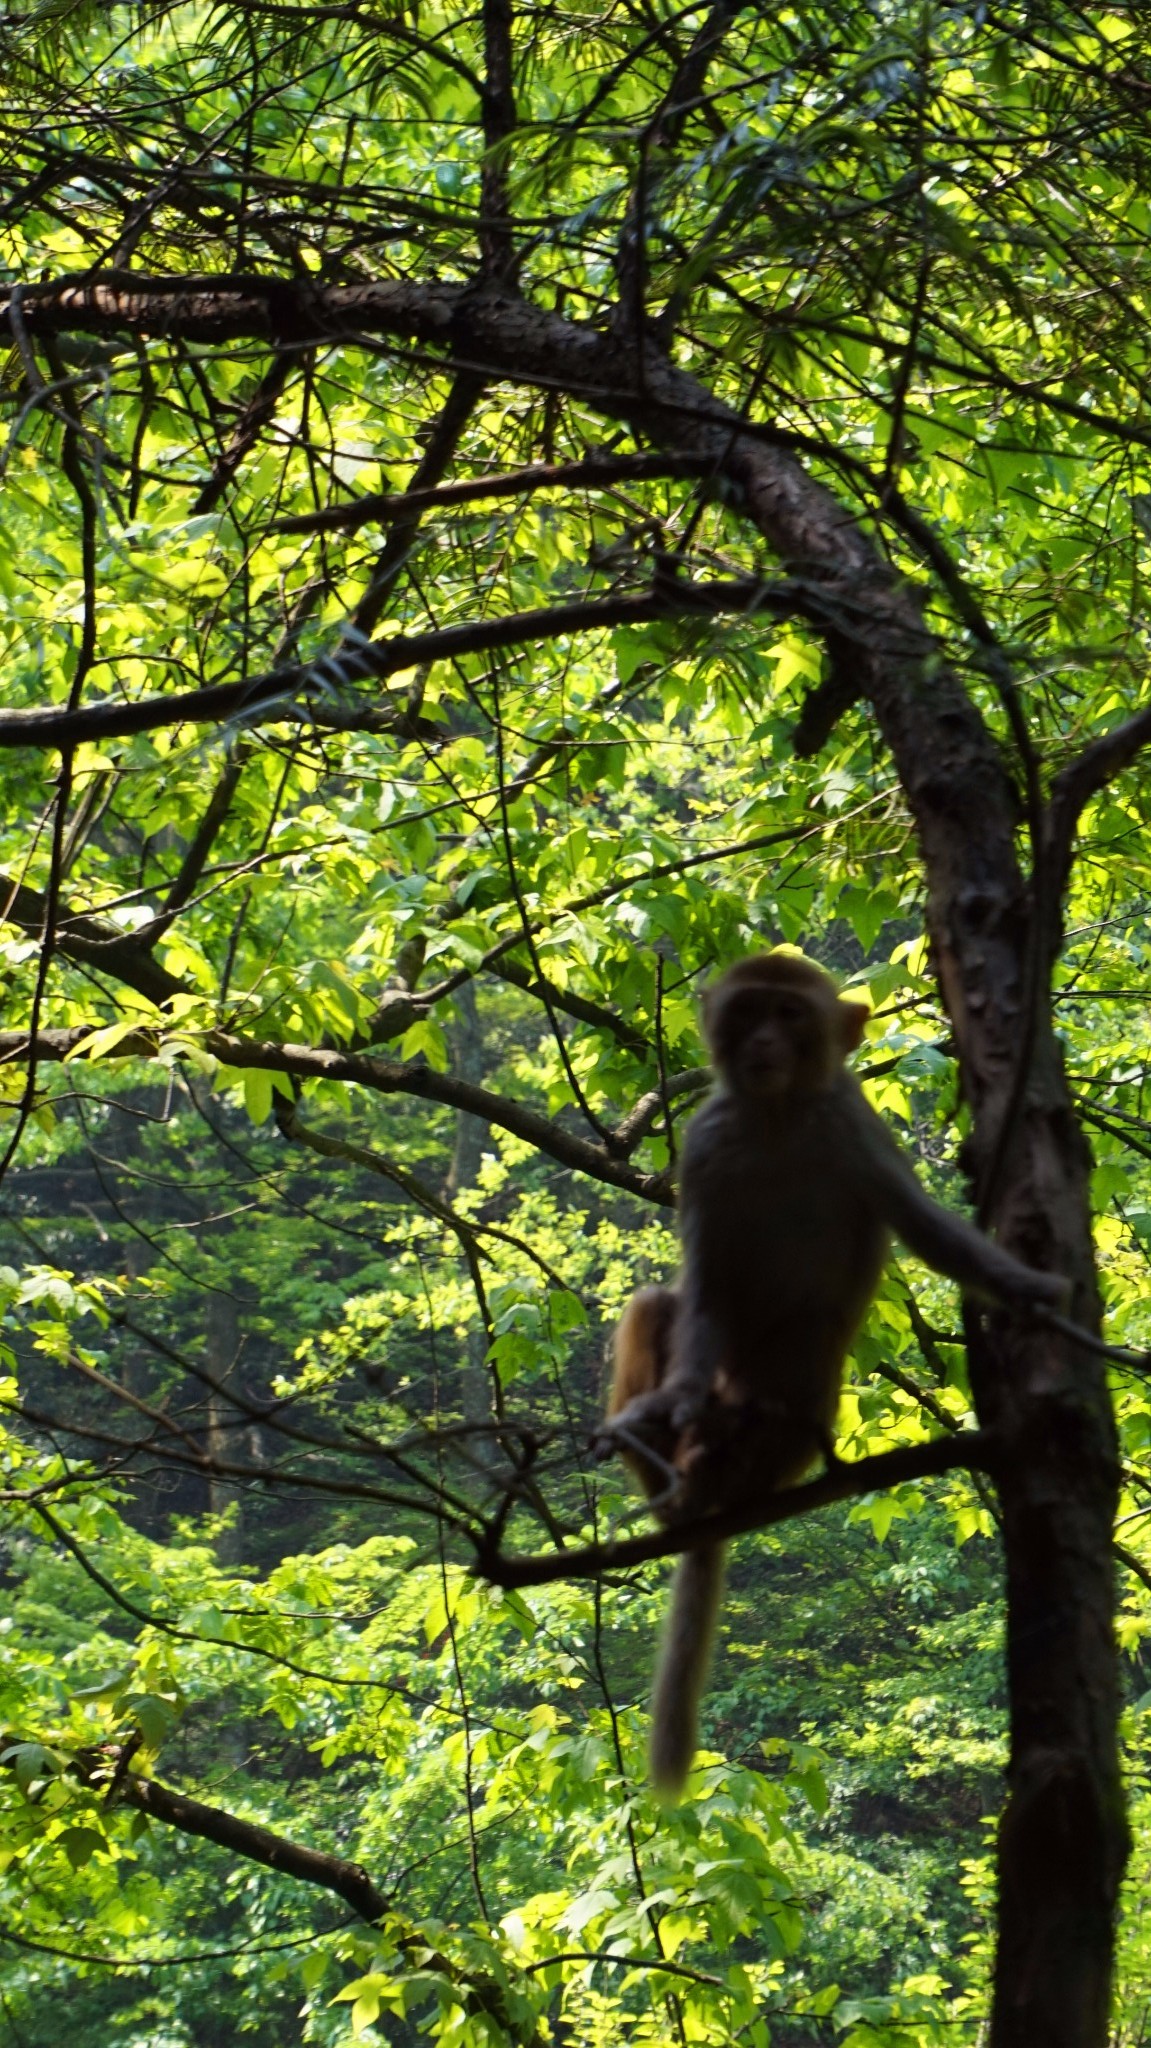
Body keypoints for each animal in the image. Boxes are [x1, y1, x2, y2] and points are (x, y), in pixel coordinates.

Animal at [606, 946, 1064, 1794]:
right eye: (748, 1011)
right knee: (659, 1302)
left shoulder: (850, 1127)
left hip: (798, 1414)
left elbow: (925, 1232)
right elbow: (705, 1286)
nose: (762, 1044)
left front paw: (1031, 1289)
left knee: (786, 1341)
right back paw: (669, 1463)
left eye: (788, 1015)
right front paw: (673, 1399)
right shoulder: (707, 1143)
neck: (777, 1118)